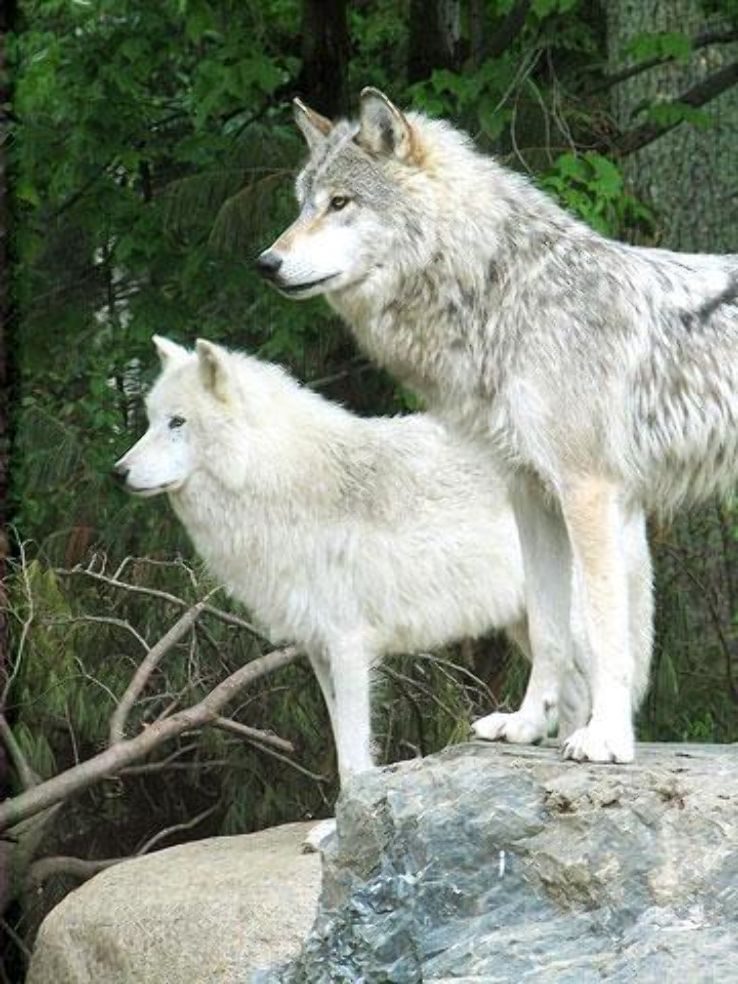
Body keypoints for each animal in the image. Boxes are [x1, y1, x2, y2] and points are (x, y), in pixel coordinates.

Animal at [113, 336, 534, 786]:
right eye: (150, 421)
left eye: (177, 422)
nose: (117, 472)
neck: (276, 480)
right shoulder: (316, 645)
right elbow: (343, 748)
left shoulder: (347, 641)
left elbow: (351, 760)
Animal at [256, 88, 738, 764]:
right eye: (303, 204)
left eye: (341, 203)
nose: (266, 263)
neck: (504, 298)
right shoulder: (531, 493)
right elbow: (549, 628)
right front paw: (527, 725)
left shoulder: (589, 491)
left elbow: (604, 632)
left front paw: (608, 738)